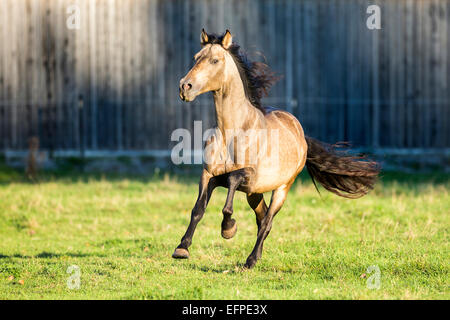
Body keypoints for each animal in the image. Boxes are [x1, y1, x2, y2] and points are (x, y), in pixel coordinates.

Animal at [172, 29, 380, 268]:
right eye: (196, 57)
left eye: (215, 60)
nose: (184, 87)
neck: (232, 133)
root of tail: (300, 133)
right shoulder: (209, 175)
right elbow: (198, 208)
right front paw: (182, 248)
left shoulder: (250, 176)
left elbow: (231, 184)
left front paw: (228, 228)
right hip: (255, 194)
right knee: (262, 217)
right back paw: (257, 255)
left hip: (281, 189)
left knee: (267, 222)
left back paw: (251, 260)